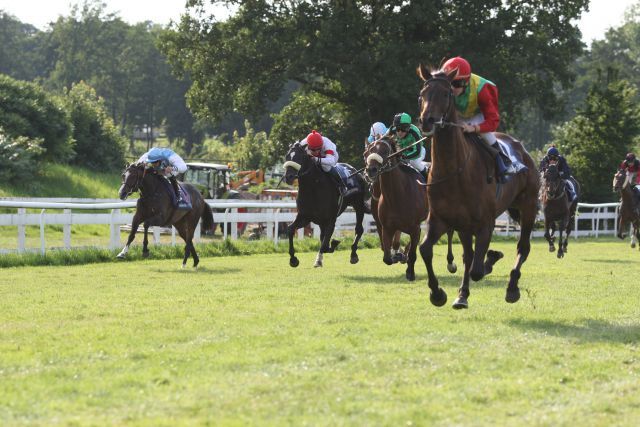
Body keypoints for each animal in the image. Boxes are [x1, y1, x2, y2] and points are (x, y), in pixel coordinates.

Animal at [364, 135, 456, 282]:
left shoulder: (414, 227)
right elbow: (387, 257)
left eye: (385, 151)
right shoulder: (387, 227)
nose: (370, 170)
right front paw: (399, 256)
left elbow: (413, 252)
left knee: (450, 232)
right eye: (367, 152)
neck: (397, 195)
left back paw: (451, 263)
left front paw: (410, 272)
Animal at [416, 65, 540, 310]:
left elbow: (477, 269)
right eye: (422, 94)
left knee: (522, 247)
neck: (454, 172)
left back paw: (512, 288)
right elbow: (426, 250)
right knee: (468, 255)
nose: (428, 121)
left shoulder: (485, 223)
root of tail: (523, 151)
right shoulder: (440, 219)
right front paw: (438, 293)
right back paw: (462, 295)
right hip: (465, 226)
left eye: (445, 94)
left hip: (528, 206)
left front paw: (491, 259)